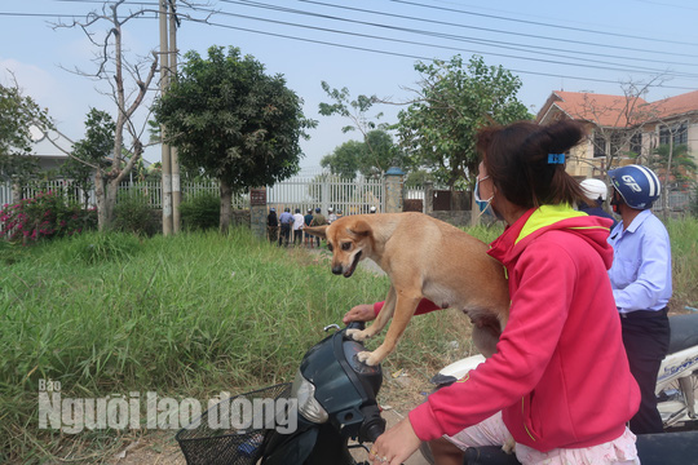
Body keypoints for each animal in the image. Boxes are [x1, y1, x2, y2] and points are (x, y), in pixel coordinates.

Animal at [304, 211, 506, 366]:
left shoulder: (408, 296)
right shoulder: (396, 290)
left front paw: (374, 357)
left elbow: (391, 334)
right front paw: (363, 334)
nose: (335, 270)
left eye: (346, 245)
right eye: (330, 247)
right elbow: (381, 317)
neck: (392, 234)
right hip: (482, 337)